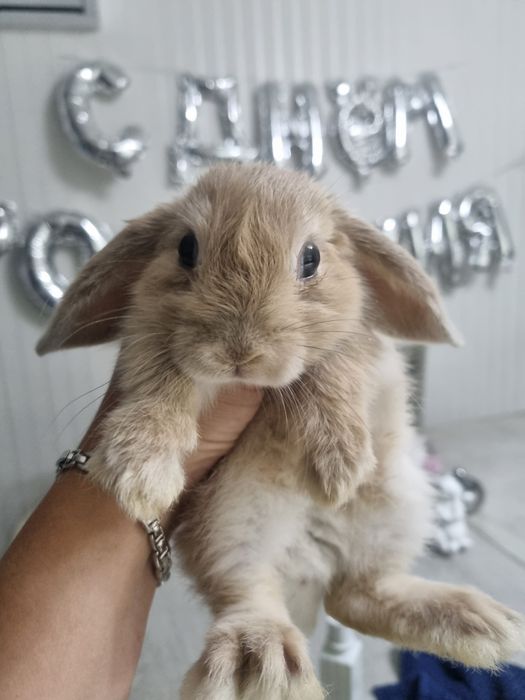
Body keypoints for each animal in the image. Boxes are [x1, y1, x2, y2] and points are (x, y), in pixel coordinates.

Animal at [37, 163, 525, 699]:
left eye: (311, 258)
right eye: (186, 248)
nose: (239, 352)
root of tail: (314, 566)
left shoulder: (357, 345)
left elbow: (331, 369)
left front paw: (338, 467)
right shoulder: (148, 344)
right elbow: (161, 385)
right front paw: (140, 474)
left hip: (398, 508)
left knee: (358, 595)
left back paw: (481, 623)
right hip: (231, 527)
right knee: (256, 595)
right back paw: (261, 663)